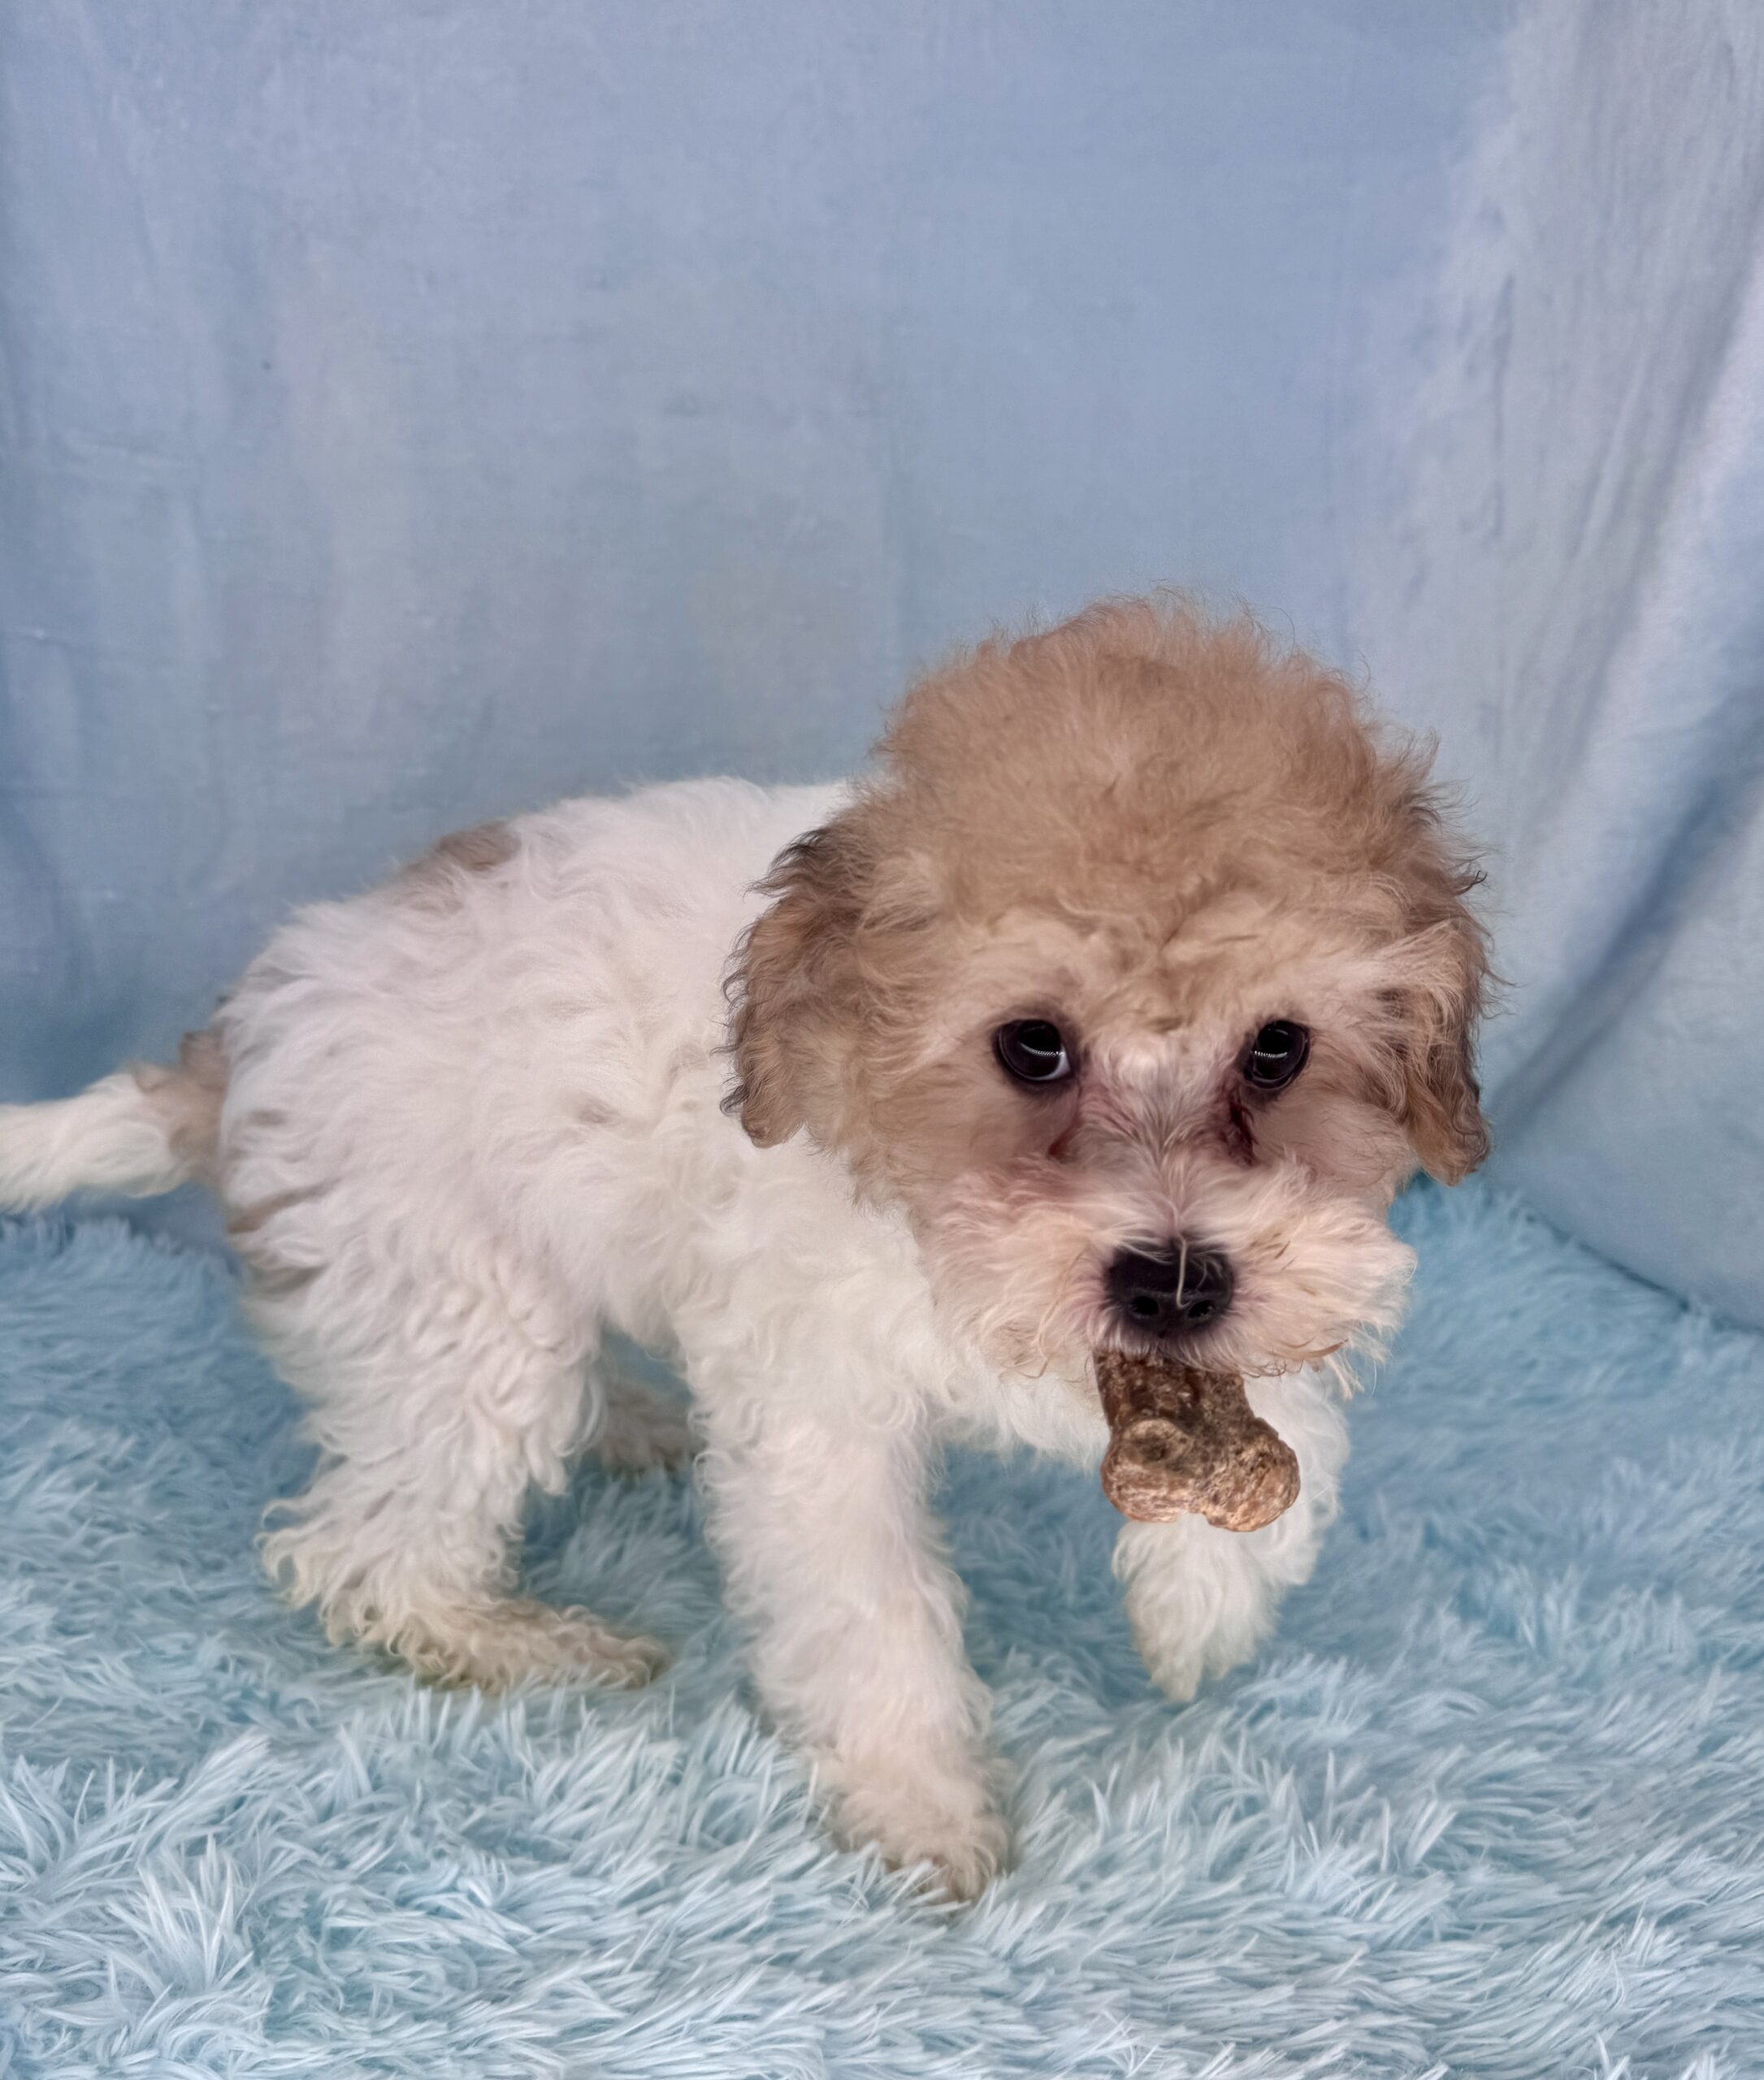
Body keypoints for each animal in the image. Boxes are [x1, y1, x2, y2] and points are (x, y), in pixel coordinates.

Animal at [0, 599, 1488, 1897]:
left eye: (1278, 1048)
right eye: (1032, 1045)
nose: (1172, 1279)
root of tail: (244, 1030)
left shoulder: (1220, 1306)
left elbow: (1293, 1433)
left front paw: (1194, 1613)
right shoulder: (822, 1416)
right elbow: (874, 1616)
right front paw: (919, 1806)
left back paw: (632, 1423)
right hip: (462, 1315)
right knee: (366, 1558)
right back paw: (526, 1644)